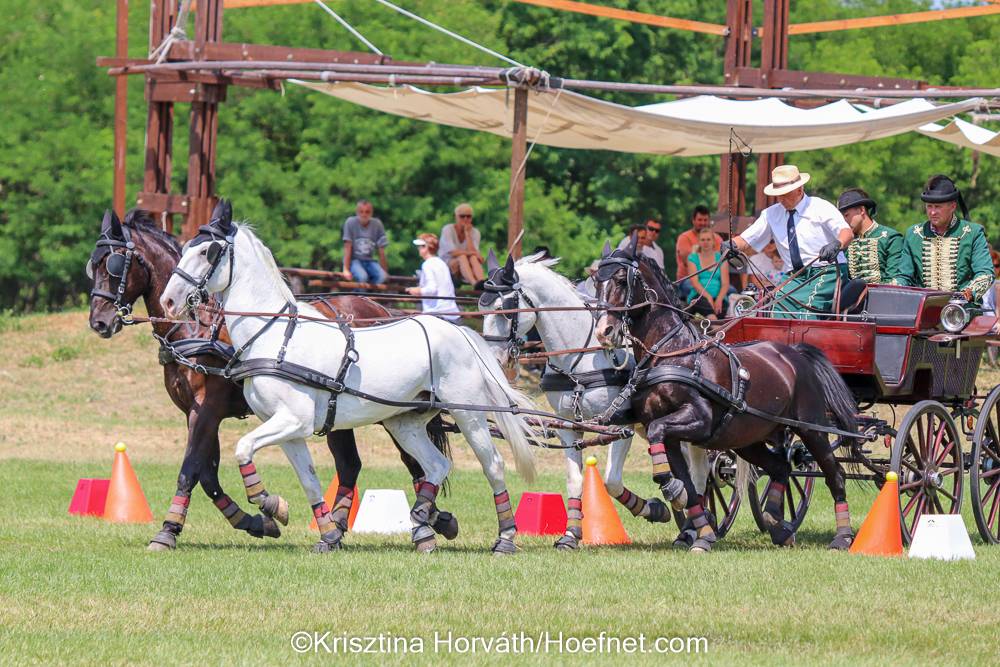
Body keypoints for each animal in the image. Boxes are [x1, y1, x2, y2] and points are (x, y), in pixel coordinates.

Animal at [86, 208, 456, 551]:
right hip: (339, 413)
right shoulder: (197, 412)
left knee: (413, 464)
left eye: (114, 265)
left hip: (385, 408)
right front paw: (254, 521)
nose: (99, 322)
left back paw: (431, 521)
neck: (197, 328)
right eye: (93, 265)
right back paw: (342, 527)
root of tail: (381, 308)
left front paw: (167, 531)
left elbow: (191, 468)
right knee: (352, 465)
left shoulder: (206, 409)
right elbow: (208, 475)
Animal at [159, 202, 537, 554]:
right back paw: (422, 527)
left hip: (468, 414)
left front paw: (268, 503)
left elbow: (242, 449)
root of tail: (460, 332)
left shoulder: (290, 420)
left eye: (207, 251)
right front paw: (319, 531)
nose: (169, 301)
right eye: (185, 247)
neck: (275, 335)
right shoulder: (287, 429)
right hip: (405, 421)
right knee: (435, 465)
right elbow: (308, 480)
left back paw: (503, 538)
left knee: (492, 465)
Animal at [479, 252, 714, 549]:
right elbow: (575, 479)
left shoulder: (621, 425)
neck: (581, 356)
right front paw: (570, 535)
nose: (495, 360)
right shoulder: (568, 425)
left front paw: (653, 508)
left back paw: (695, 528)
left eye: (504, 309)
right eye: (481, 308)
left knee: (699, 472)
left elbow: (612, 480)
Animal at [593, 240, 858, 552]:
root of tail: (796, 353)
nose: (604, 331)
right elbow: (688, 481)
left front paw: (673, 492)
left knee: (835, 474)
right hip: (748, 438)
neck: (672, 352)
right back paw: (777, 523)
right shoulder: (667, 433)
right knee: (781, 467)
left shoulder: (699, 419)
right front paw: (702, 532)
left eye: (622, 280)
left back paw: (842, 537)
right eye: (596, 281)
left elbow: (667, 448)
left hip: (811, 428)